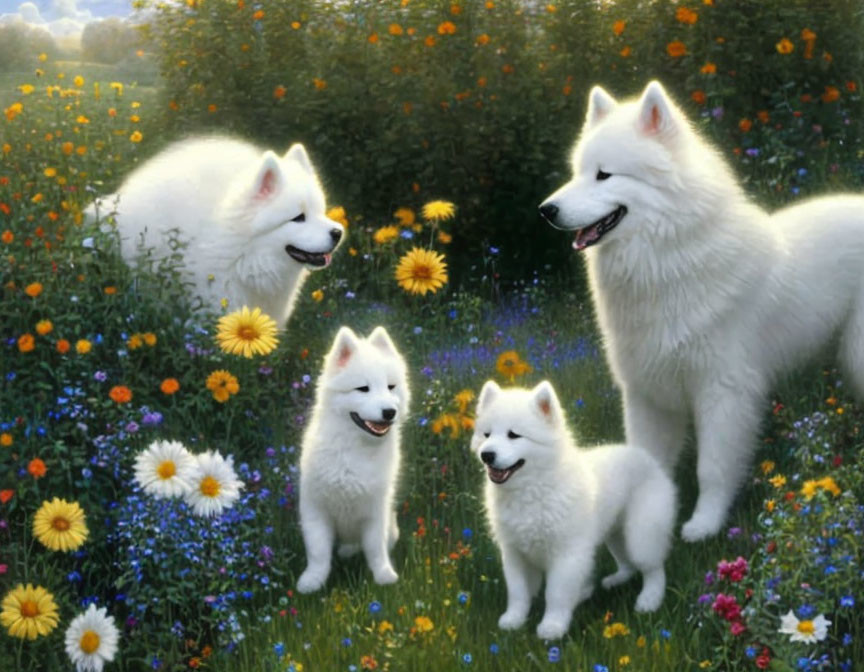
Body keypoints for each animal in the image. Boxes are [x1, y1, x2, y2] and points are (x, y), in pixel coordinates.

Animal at [298, 326, 410, 592]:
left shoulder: (376, 512)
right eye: (363, 389)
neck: (355, 449)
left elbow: (376, 549)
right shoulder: (315, 509)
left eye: (391, 387)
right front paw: (312, 581)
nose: (389, 412)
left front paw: (384, 576)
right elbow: (318, 552)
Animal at [476, 380, 680, 636]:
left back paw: (649, 600)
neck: (535, 487)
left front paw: (552, 626)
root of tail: (649, 459)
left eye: (513, 435)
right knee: (627, 563)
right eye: (486, 434)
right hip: (615, 533)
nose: (486, 455)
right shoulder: (514, 553)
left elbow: (556, 594)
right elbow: (518, 593)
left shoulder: (566, 553)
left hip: (641, 534)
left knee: (653, 568)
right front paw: (513, 620)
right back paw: (615, 581)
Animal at [540, 80, 864, 540]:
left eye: (604, 174)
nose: (546, 210)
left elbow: (712, 469)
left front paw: (704, 525)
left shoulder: (723, 392)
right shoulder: (647, 394)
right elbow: (645, 461)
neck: (665, 262)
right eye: (577, 173)